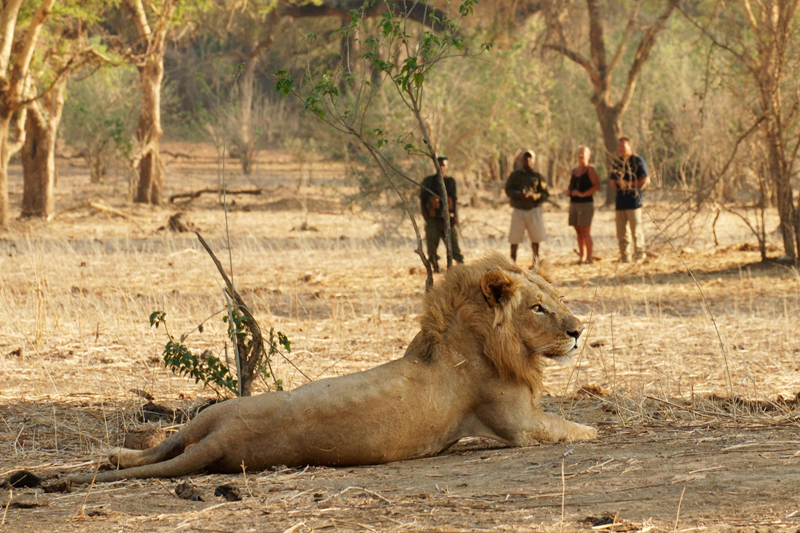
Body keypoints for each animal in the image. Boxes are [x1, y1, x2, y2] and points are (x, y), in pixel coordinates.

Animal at [67, 256, 592, 484]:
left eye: (556, 299)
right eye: (539, 308)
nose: (579, 331)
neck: (482, 338)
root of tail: (224, 438)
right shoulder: (518, 424)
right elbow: (572, 427)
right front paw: (592, 429)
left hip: (208, 417)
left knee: (163, 447)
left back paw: (115, 457)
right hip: (218, 417)